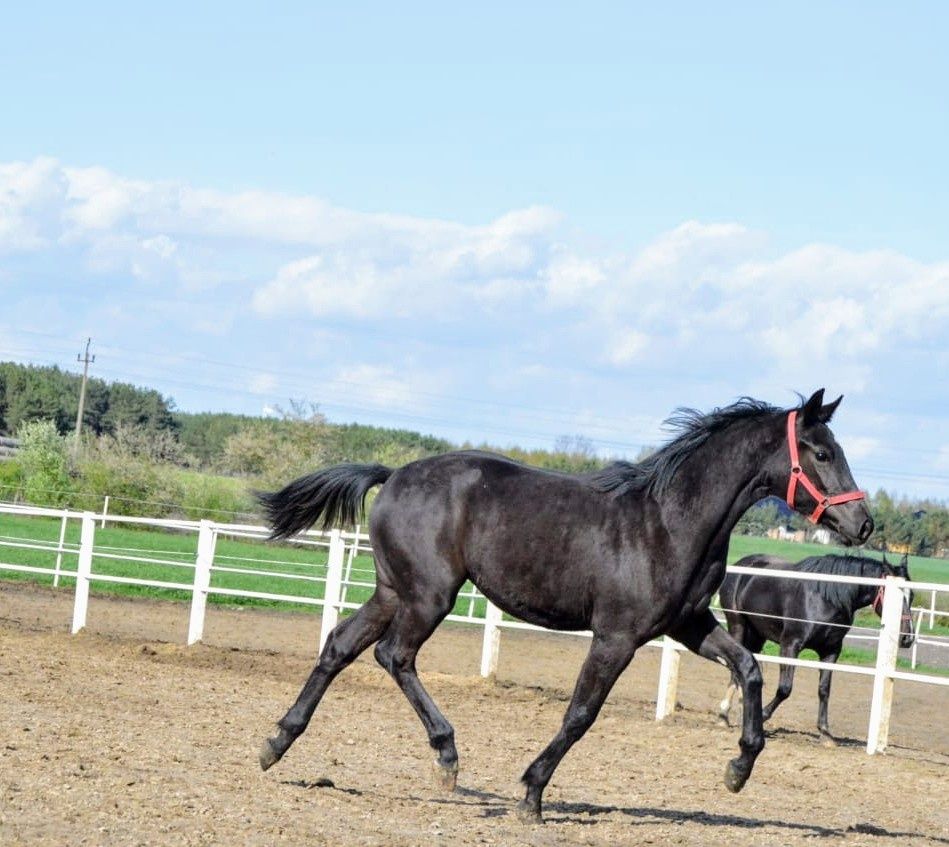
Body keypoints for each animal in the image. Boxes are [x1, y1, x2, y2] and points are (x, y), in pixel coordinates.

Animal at [256, 390, 872, 820]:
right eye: (822, 453)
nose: (863, 523)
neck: (671, 522)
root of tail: (393, 475)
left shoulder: (688, 624)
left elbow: (749, 670)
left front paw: (739, 768)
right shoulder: (617, 636)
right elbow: (580, 712)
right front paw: (531, 793)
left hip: (395, 591)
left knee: (339, 646)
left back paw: (275, 744)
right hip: (429, 596)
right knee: (394, 655)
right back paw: (447, 758)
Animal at [720, 548, 912, 744]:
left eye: (911, 595)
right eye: (891, 598)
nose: (906, 637)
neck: (825, 598)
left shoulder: (831, 651)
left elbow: (824, 690)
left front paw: (825, 733)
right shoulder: (790, 645)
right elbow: (785, 689)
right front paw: (764, 715)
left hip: (757, 634)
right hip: (738, 625)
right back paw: (724, 715)